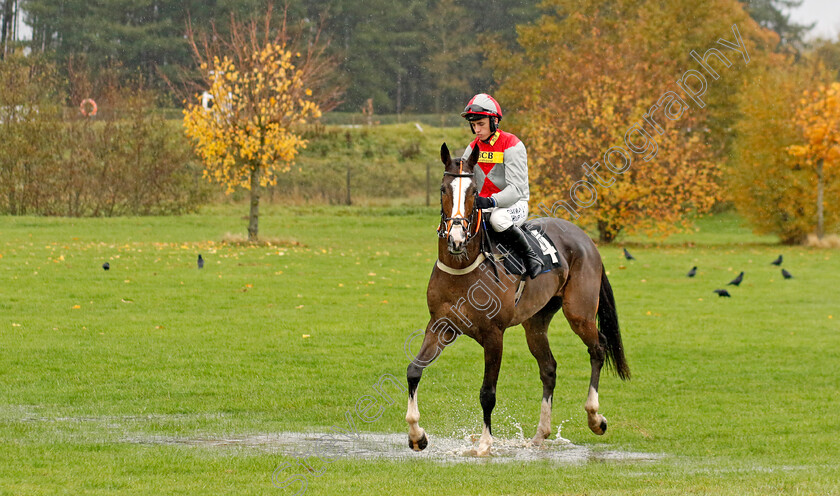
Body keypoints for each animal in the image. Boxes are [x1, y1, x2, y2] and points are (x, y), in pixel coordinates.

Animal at [406, 141, 632, 456]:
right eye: (443, 189)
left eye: (474, 192)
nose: (456, 238)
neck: (463, 266)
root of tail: (585, 239)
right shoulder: (441, 326)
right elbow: (414, 370)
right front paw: (417, 435)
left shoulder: (494, 336)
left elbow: (487, 393)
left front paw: (485, 444)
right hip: (535, 323)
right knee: (548, 368)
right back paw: (540, 434)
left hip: (579, 313)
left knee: (598, 347)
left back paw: (595, 417)